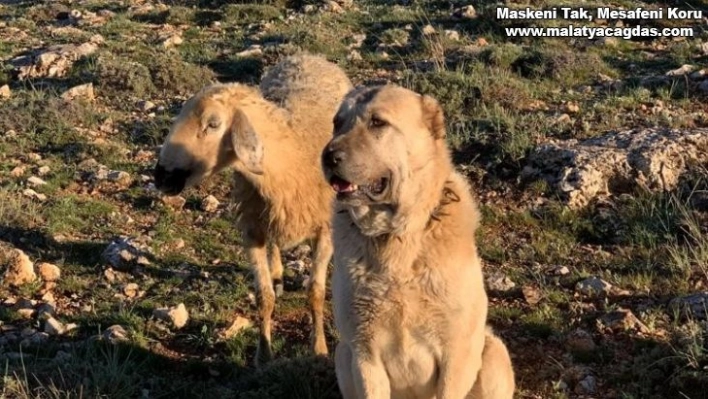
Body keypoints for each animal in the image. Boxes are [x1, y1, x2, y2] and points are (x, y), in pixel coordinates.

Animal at [156, 54, 354, 368]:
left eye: (213, 124)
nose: (160, 177)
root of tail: (306, 56)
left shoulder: (325, 229)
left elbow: (315, 292)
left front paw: (319, 348)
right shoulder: (252, 228)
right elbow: (264, 296)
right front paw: (264, 354)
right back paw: (277, 273)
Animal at [320, 86, 516, 398]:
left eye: (377, 122)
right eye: (337, 123)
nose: (328, 157)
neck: (398, 237)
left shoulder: (456, 354)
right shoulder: (364, 353)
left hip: (493, 352)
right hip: (343, 353)